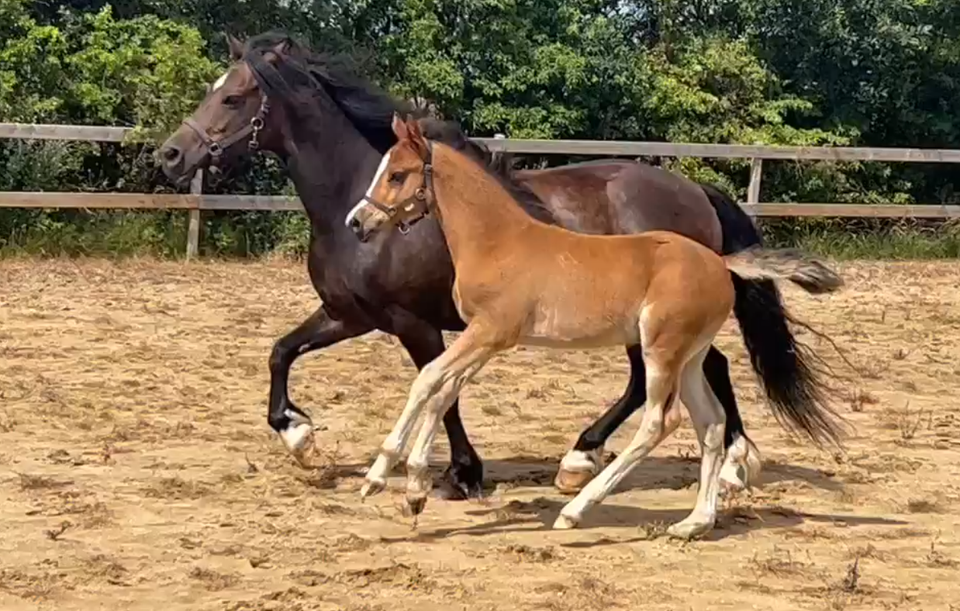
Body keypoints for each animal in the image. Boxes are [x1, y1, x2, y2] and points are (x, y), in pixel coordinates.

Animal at [158, 33, 832, 500]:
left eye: (234, 96)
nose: (170, 155)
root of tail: (696, 190)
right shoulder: (350, 315)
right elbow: (281, 352)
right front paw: (299, 438)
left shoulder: (416, 323)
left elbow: (441, 390)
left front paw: (461, 472)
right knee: (690, 371)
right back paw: (695, 460)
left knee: (671, 376)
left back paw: (610, 460)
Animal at [344, 115, 840, 540]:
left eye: (397, 175)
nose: (357, 222)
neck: (498, 241)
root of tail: (720, 262)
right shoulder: (483, 340)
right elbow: (441, 390)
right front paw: (413, 491)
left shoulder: (490, 332)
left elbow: (428, 380)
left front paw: (380, 478)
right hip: (689, 358)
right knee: (711, 422)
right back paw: (694, 522)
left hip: (661, 350)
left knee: (661, 421)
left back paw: (576, 507)